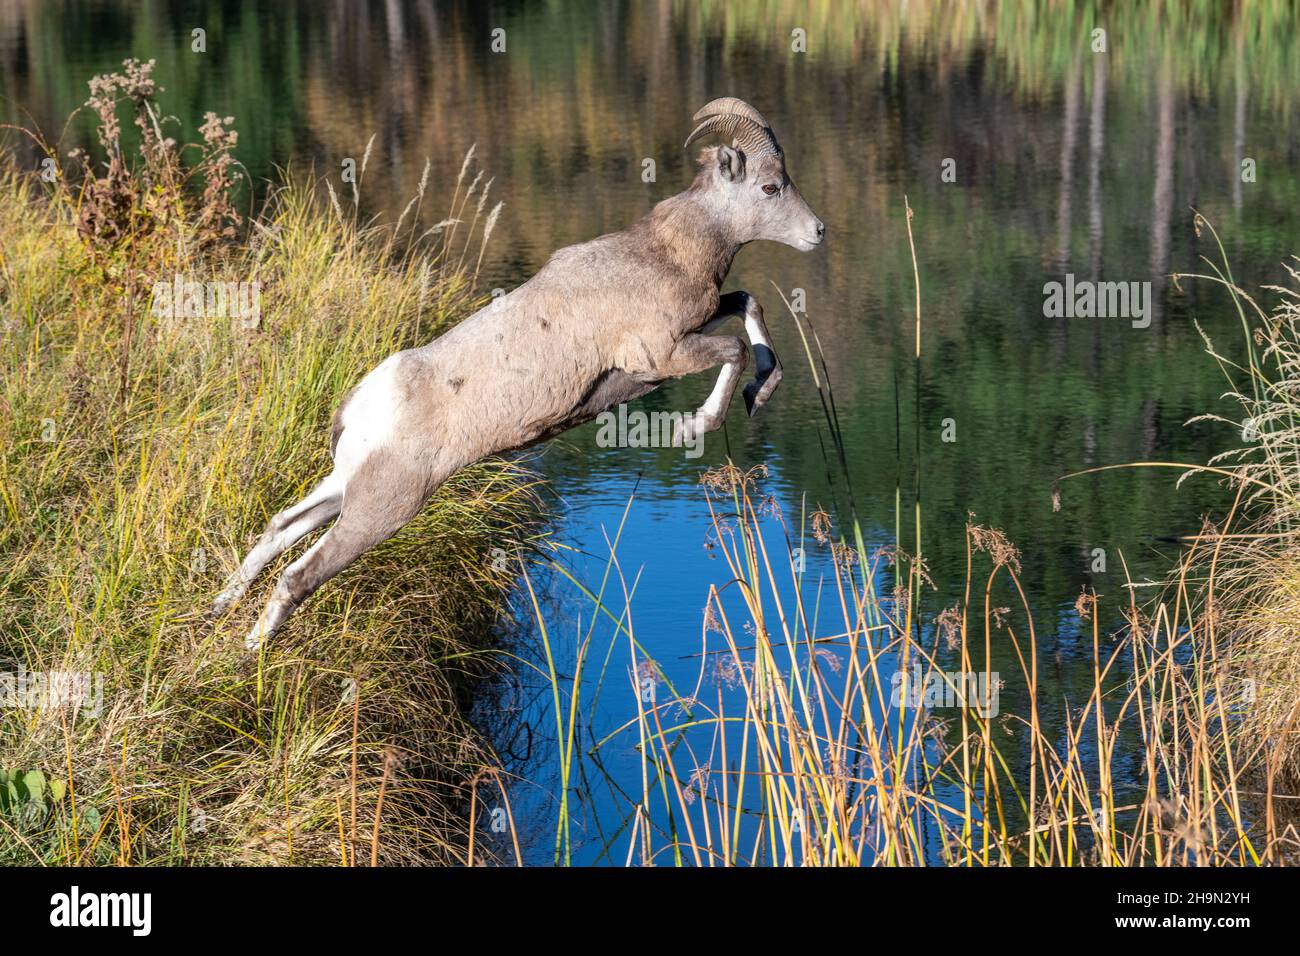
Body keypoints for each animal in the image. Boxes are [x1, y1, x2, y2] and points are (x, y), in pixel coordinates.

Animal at [211, 97, 825, 649]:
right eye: (770, 188)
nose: (818, 232)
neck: (669, 251)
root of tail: (361, 405)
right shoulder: (660, 357)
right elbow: (733, 349)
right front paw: (693, 426)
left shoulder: (701, 322)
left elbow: (747, 306)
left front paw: (760, 392)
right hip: (380, 509)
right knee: (298, 575)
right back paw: (247, 657)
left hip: (344, 489)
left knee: (278, 530)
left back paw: (221, 609)